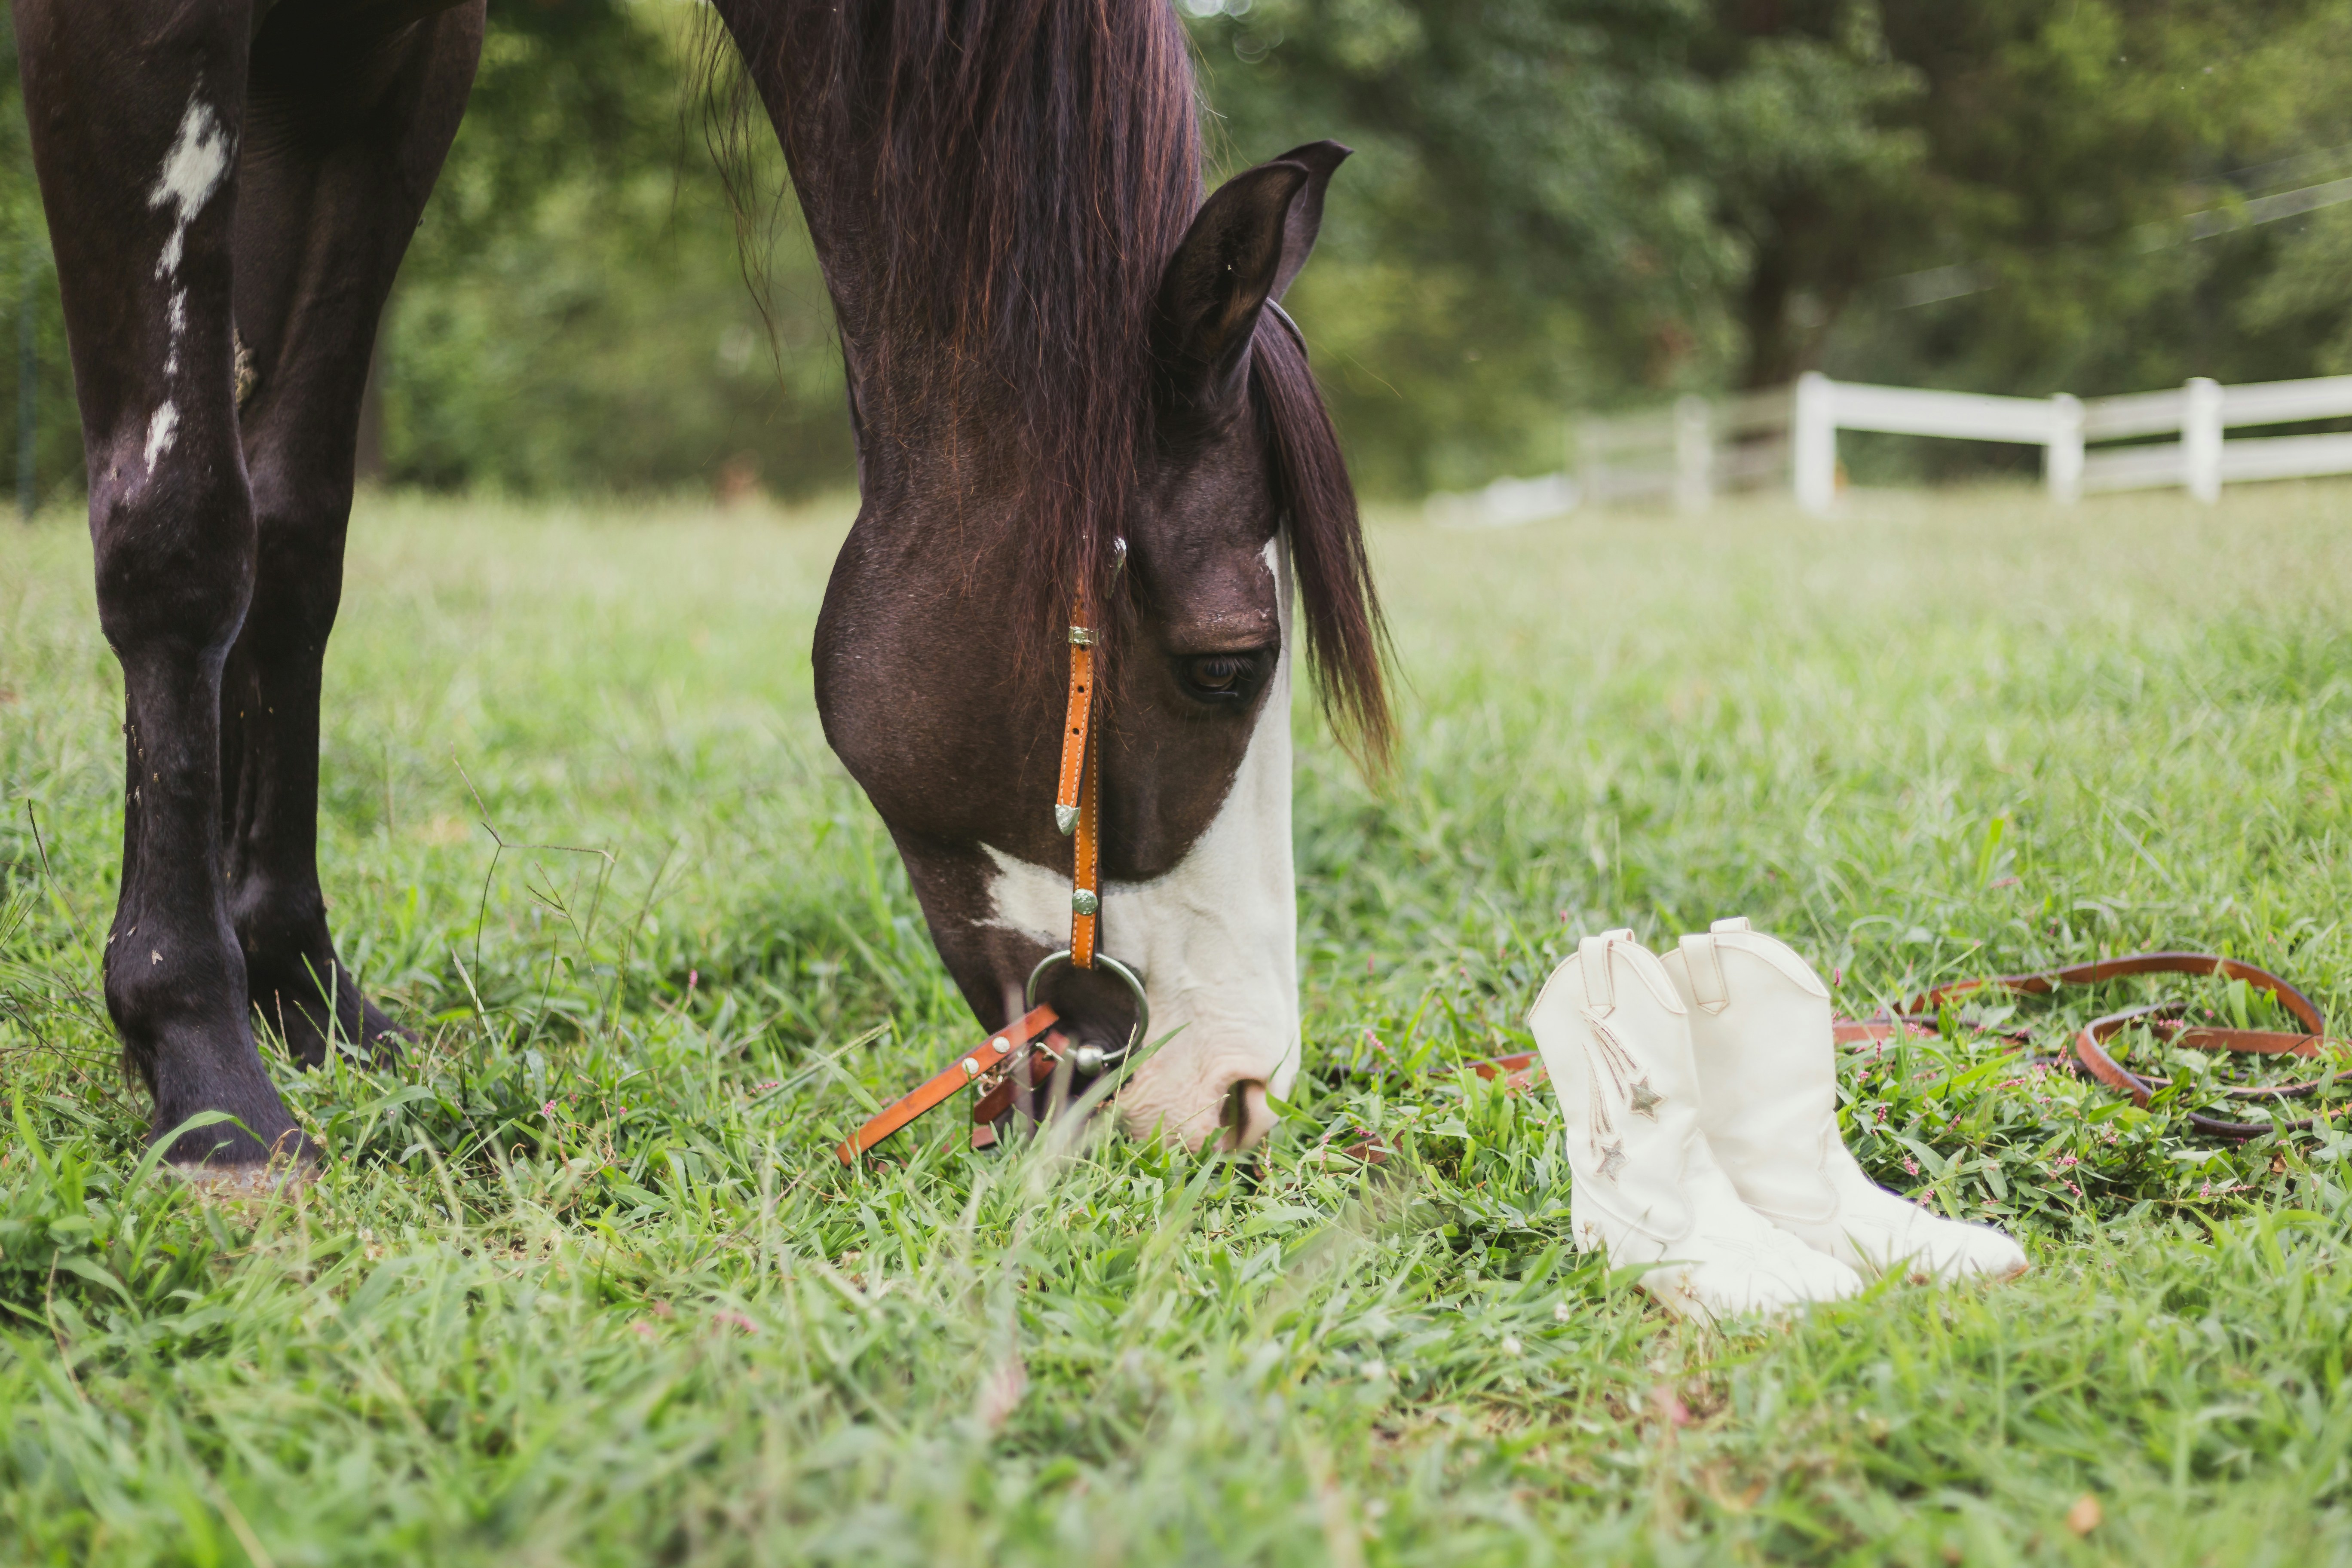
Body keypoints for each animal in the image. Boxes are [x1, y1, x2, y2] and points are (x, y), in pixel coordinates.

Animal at [13, 0, 1390, 1172]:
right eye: (1226, 667)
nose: (1242, 1093)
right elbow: (183, 536)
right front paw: (206, 1071)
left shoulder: (389, 68)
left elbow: (295, 538)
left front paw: (303, 998)